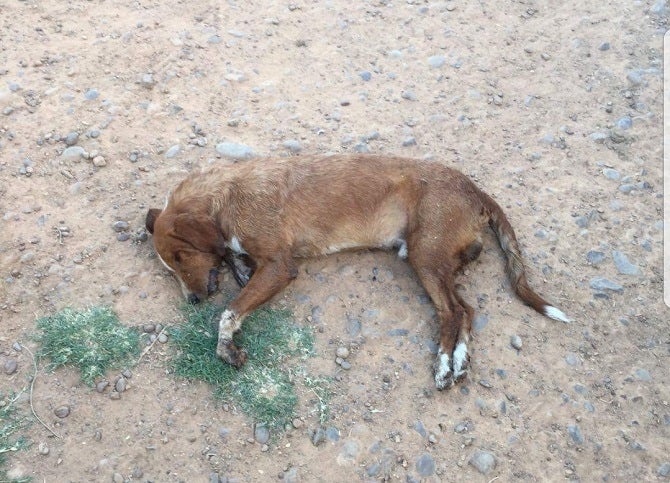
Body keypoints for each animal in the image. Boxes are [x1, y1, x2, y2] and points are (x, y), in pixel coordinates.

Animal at [144, 155, 568, 390]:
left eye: (181, 256)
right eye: (169, 266)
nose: (193, 301)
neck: (227, 195)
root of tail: (475, 190)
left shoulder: (280, 267)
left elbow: (229, 311)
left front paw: (226, 345)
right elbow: (234, 266)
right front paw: (236, 267)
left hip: (425, 256)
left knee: (452, 312)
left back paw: (444, 365)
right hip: (439, 262)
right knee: (468, 310)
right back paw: (459, 361)